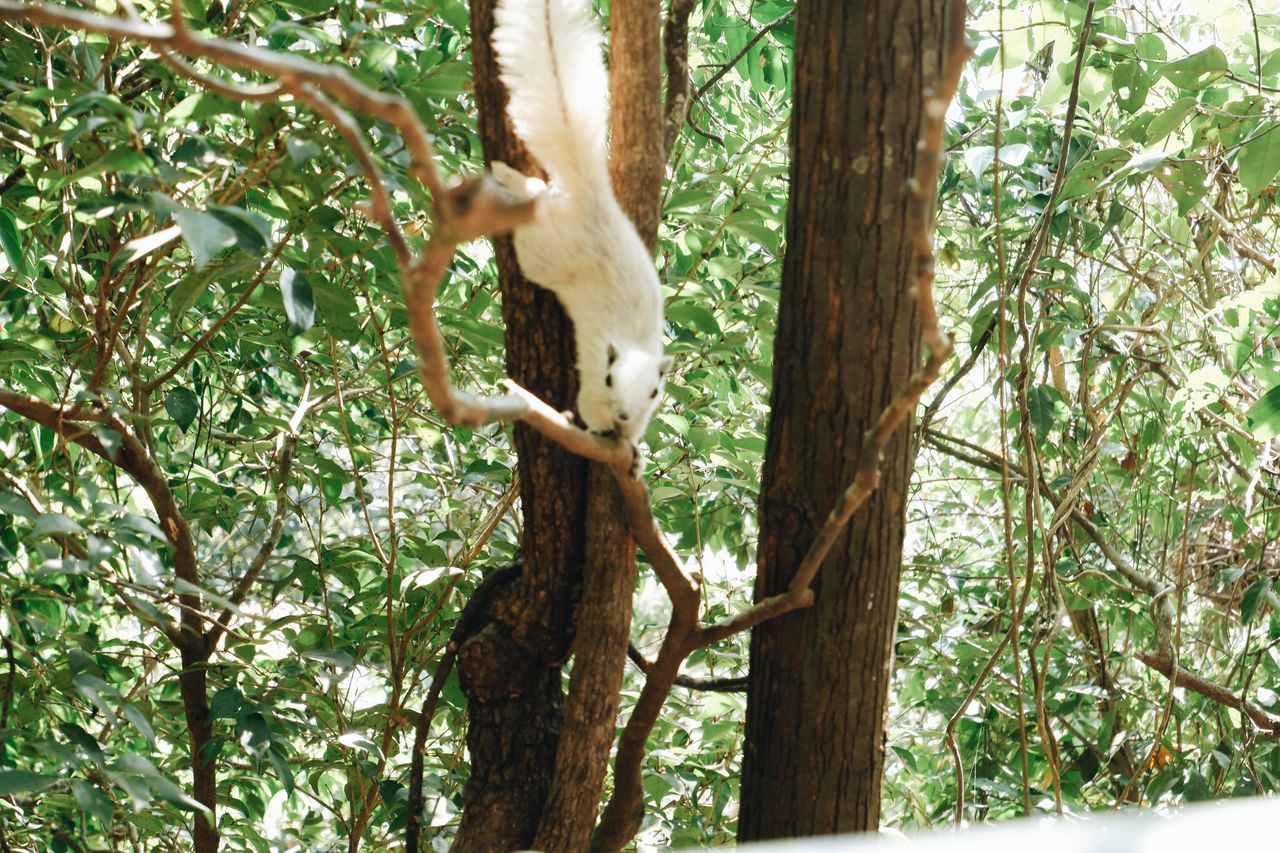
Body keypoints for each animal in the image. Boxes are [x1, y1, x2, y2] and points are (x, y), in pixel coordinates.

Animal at [488, 0, 675, 440]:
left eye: (654, 391)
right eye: (608, 378)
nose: (623, 413)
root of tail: (594, 203)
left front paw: (632, 447)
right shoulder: (590, 382)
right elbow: (588, 409)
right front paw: (600, 430)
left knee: (542, 188)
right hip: (542, 252)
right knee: (534, 202)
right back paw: (509, 181)